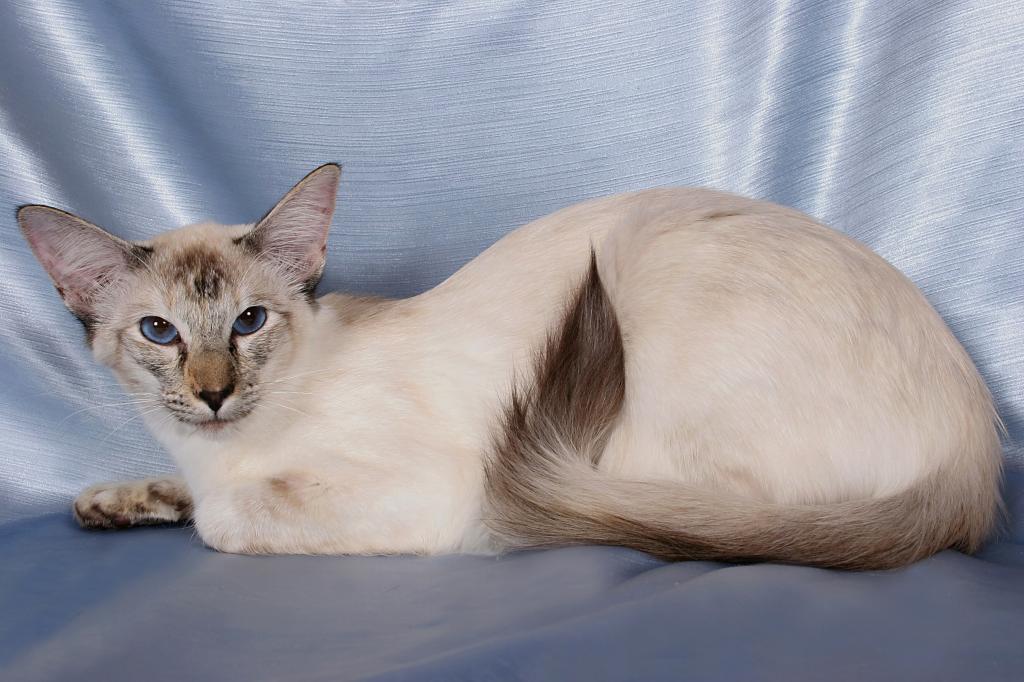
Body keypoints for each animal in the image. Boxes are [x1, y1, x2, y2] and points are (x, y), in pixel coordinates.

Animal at [16, 165, 1003, 569]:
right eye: (160, 333)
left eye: (249, 322)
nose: (214, 394)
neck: (224, 448)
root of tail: (979, 453)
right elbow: (179, 495)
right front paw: (114, 503)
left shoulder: (431, 492)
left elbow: (224, 520)